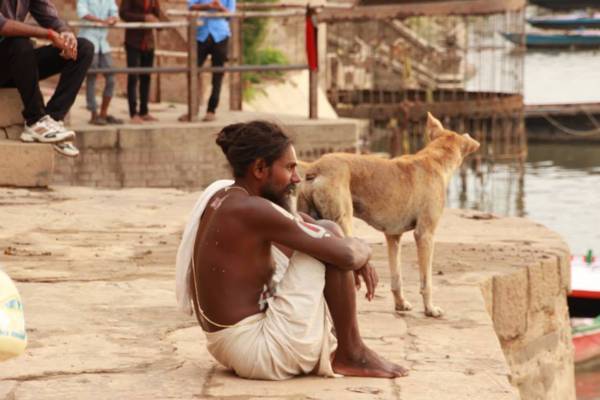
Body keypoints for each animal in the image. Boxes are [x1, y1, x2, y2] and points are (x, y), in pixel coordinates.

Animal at [298, 114, 480, 318]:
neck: (434, 159)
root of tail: (314, 167)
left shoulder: (393, 236)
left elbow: (396, 278)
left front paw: (400, 304)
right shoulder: (425, 235)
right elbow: (427, 282)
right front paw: (430, 309)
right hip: (343, 225)